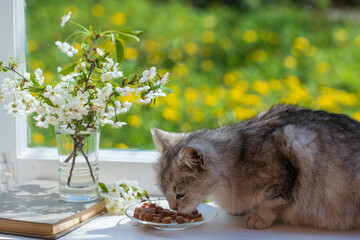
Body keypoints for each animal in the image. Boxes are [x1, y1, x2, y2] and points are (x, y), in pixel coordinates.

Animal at [151, 104, 360, 230]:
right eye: (164, 192)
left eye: (180, 194)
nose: (173, 208)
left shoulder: (288, 163)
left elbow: (270, 202)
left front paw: (258, 217)